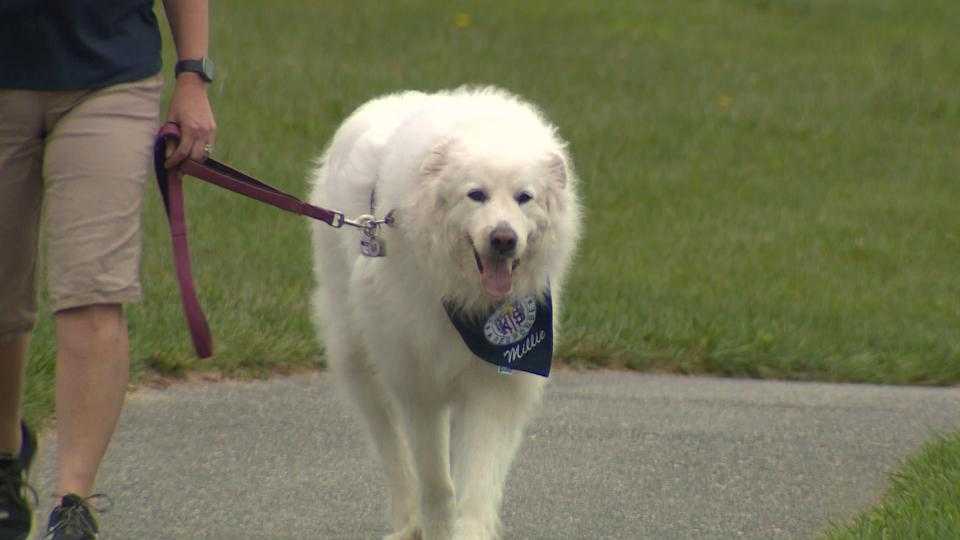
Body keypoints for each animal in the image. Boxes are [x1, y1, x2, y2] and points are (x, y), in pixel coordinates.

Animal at [310, 86, 576, 536]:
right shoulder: (419, 388)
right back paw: (407, 525)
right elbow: (436, 482)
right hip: (359, 361)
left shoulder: (493, 388)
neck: (467, 300)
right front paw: (436, 527)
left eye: (524, 198)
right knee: (395, 457)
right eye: (476, 195)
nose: (503, 239)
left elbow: (477, 489)